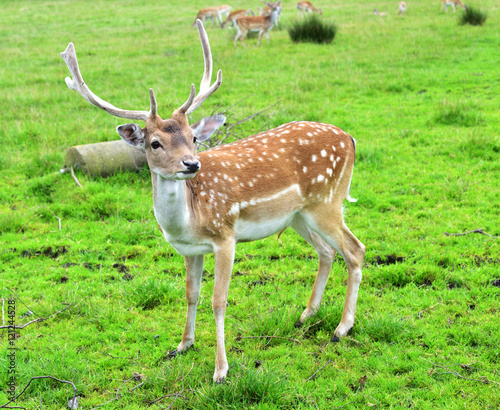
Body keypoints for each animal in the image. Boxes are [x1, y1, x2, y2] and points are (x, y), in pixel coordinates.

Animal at [60, 20, 366, 384]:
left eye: (193, 137)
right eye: (154, 143)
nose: (192, 164)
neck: (189, 221)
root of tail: (350, 138)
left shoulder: (225, 236)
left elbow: (219, 301)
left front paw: (220, 370)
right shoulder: (190, 249)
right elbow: (191, 293)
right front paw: (182, 345)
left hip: (327, 201)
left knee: (355, 249)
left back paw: (342, 328)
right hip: (298, 215)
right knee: (326, 251)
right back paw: (306, 314)